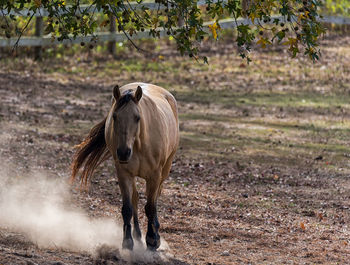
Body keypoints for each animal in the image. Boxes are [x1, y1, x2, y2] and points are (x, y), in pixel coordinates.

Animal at [71, 82, 180, 250]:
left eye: (137, 117)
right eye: (115, 116)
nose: (123, 152)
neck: (140, 144)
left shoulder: (154, 176)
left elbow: (150, 206)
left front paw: (152, 239)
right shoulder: (123, 173)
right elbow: (127, 207)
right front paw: (128, 241)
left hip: (165, 170)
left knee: (155, 198)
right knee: (135, 198)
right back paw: (137, 234)